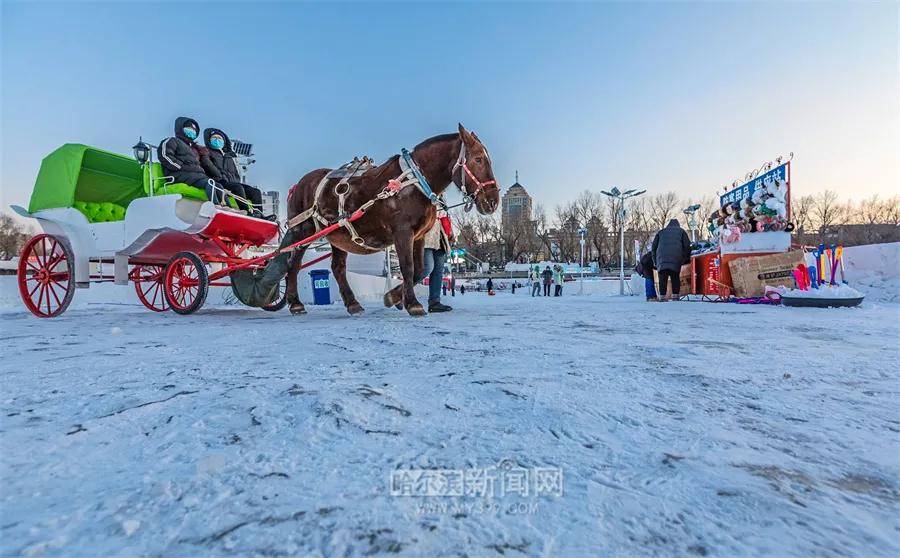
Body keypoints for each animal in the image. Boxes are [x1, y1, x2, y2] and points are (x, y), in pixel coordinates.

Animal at [284, 125, 502, 318]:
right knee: (293, 264)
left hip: (337, 235)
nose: (493, 201)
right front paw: (412, 304)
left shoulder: (419, 235)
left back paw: (353, 304)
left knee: (338, 268)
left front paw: (394, 297)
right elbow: (408, 267)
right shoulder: (402, 232)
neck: (415, 181)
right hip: (301, 231)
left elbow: (419, 269)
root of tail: (299, 184)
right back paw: (295, 303)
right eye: (478, 159)